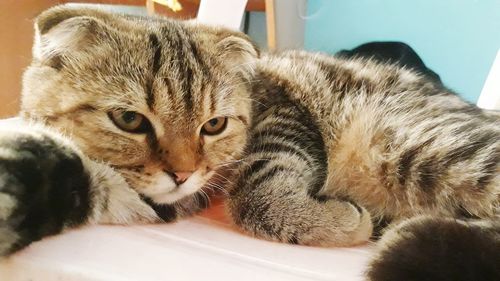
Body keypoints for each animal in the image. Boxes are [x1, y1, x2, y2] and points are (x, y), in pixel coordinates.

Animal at [0, 5, 498, 278]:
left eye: (214, 125)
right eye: (129, 120)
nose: (182, 173)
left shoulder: (281, 117)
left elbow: (256, 193)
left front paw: (338, 221)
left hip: (422, 146)